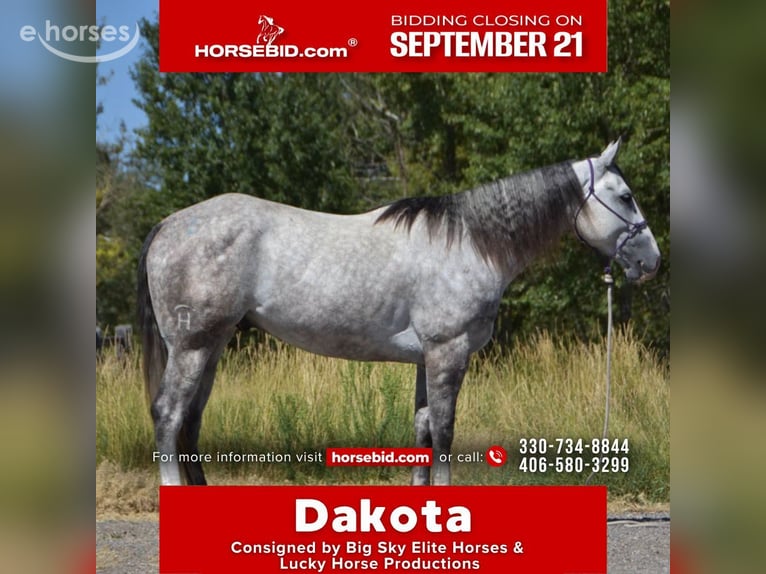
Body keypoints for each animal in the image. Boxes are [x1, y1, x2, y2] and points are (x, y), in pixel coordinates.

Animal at [138, 139, 660, 486]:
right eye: (626, 196)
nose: (651, 261)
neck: (470, 243)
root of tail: (169, 225)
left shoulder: (427, 360)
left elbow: (423, 430)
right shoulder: (448, 353)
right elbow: (445, 432)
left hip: (212, 345)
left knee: (191, 420)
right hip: (192, 346)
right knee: (168, 414)